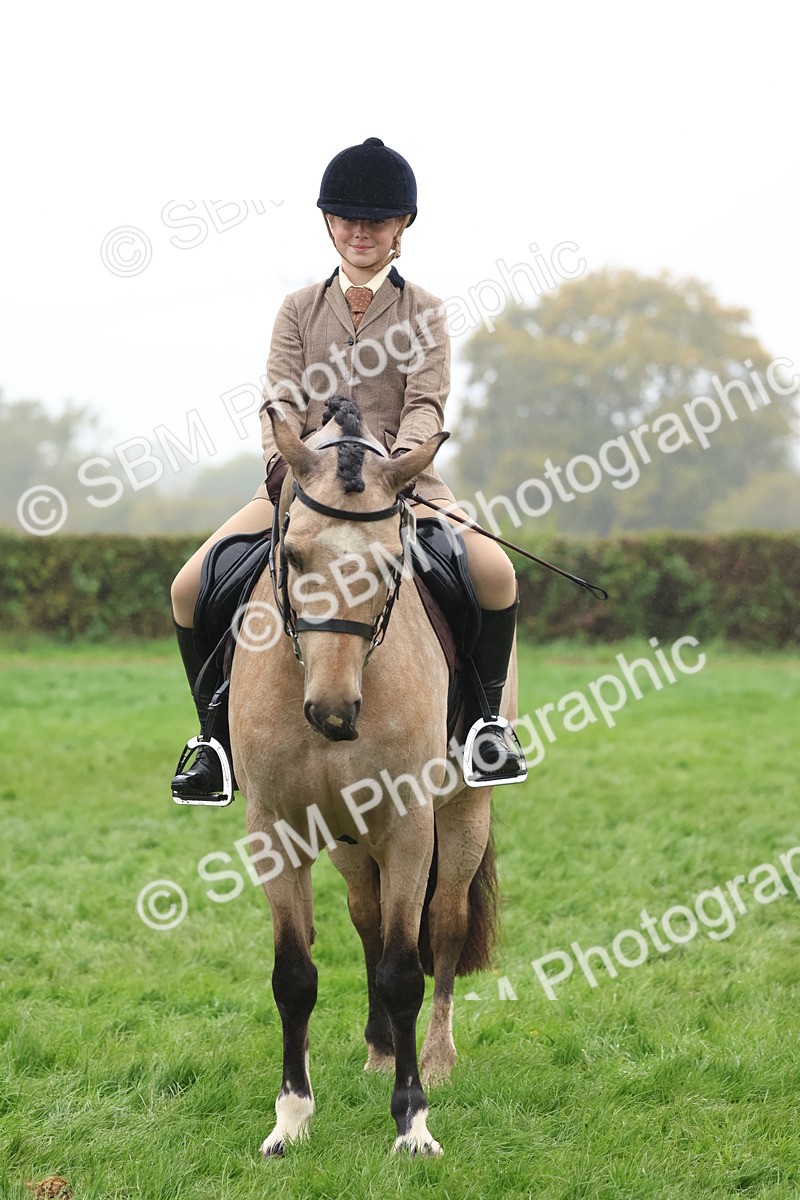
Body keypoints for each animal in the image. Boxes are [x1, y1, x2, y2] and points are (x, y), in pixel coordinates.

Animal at [229, 396, 517, 1158]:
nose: (333, 712)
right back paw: (381, 1049)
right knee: (366, 918)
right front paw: (291, 1118)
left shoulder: (410, 823)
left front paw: (413, 1122)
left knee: (441, 926)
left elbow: (403, 971)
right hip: (349, 840)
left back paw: (437, 1059)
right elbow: (295, 975)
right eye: (293, 555)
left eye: (392, 563)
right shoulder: (277, 829)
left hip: (462, 813)